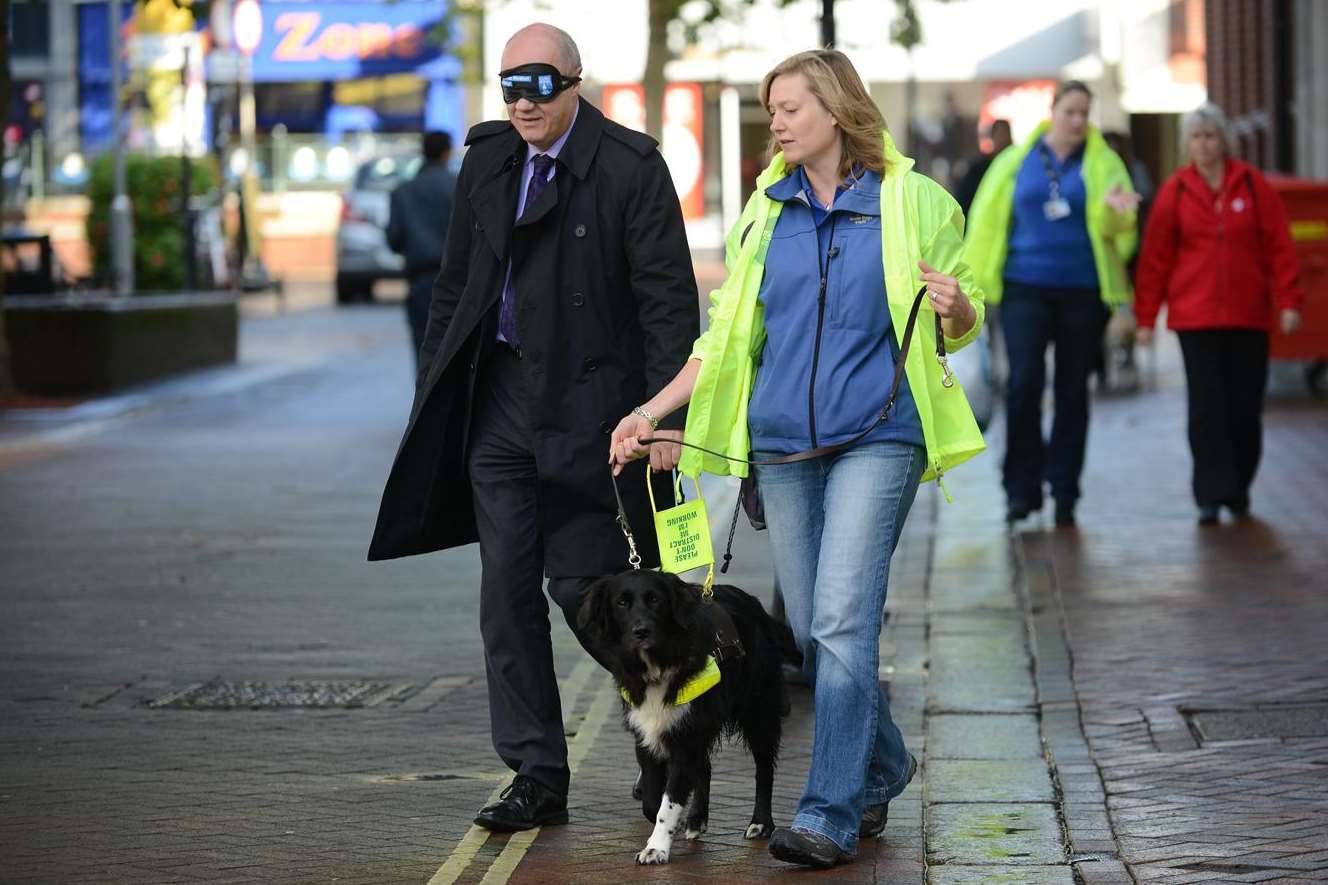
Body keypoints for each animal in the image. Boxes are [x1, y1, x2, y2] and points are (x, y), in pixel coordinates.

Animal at [573, 566, 786, 861]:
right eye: (621, 603)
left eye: (655, 600)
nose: (641, 631)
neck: (657, 665)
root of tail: (752, 601)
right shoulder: (648, 736)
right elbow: (653, 802)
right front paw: (668, 829)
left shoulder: (686, 735)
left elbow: (669, 802)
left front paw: (656, 848)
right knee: (704, 767)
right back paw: (697, 820)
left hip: (758, 709)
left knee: (764, 767)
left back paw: (761, 823)